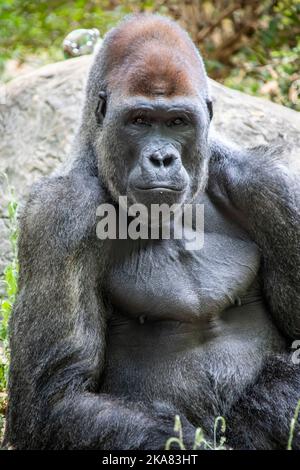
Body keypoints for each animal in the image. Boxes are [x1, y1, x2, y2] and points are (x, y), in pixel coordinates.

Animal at [2, 13, 300, 448]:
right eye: (140, 121)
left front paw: (258, 412)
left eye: (178, 122)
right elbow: (57, 396)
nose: (161, 158)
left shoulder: (272, 187)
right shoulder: (58, 214)